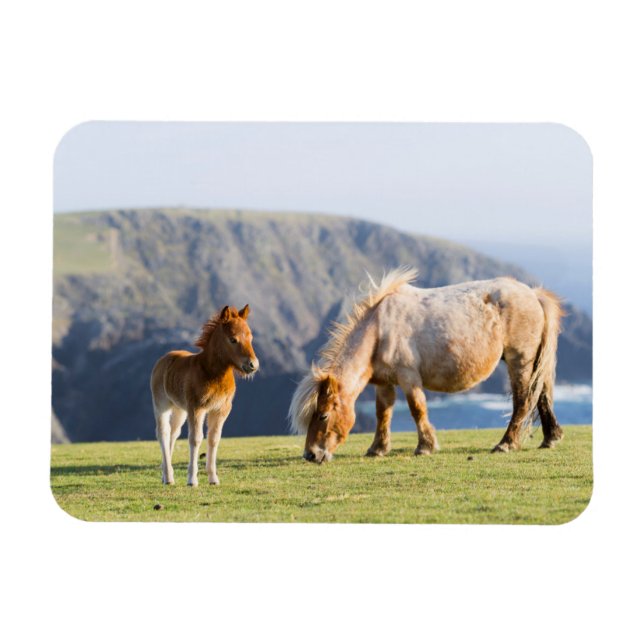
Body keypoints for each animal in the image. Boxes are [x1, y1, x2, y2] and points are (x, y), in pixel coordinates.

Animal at [150, 305, 259, 485]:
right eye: (233, 339)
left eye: (250, 337)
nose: (253, 365)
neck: (211, 373)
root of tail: (163, 359)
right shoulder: (197, 408)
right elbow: (195, 439)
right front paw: (192, 480)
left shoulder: (221, 410)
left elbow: (213, 439)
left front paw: (213, 478)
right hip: (161, 404)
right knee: (163, 433)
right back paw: (168, 477)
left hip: (180, 409)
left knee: (174, 433)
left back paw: (166, 475)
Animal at [289, 267, 563, 464]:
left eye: (323, 415)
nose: (311, 455)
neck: (379, 330)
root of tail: (533, 295)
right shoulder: (384, 383)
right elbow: (383, 413)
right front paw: (377, 448)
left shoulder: (409, 377)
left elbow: (417, 409)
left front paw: (425, 447)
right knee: (541, 394)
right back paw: (550, 438)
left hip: (520, 361)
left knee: (524, 400)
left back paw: (506, 443)